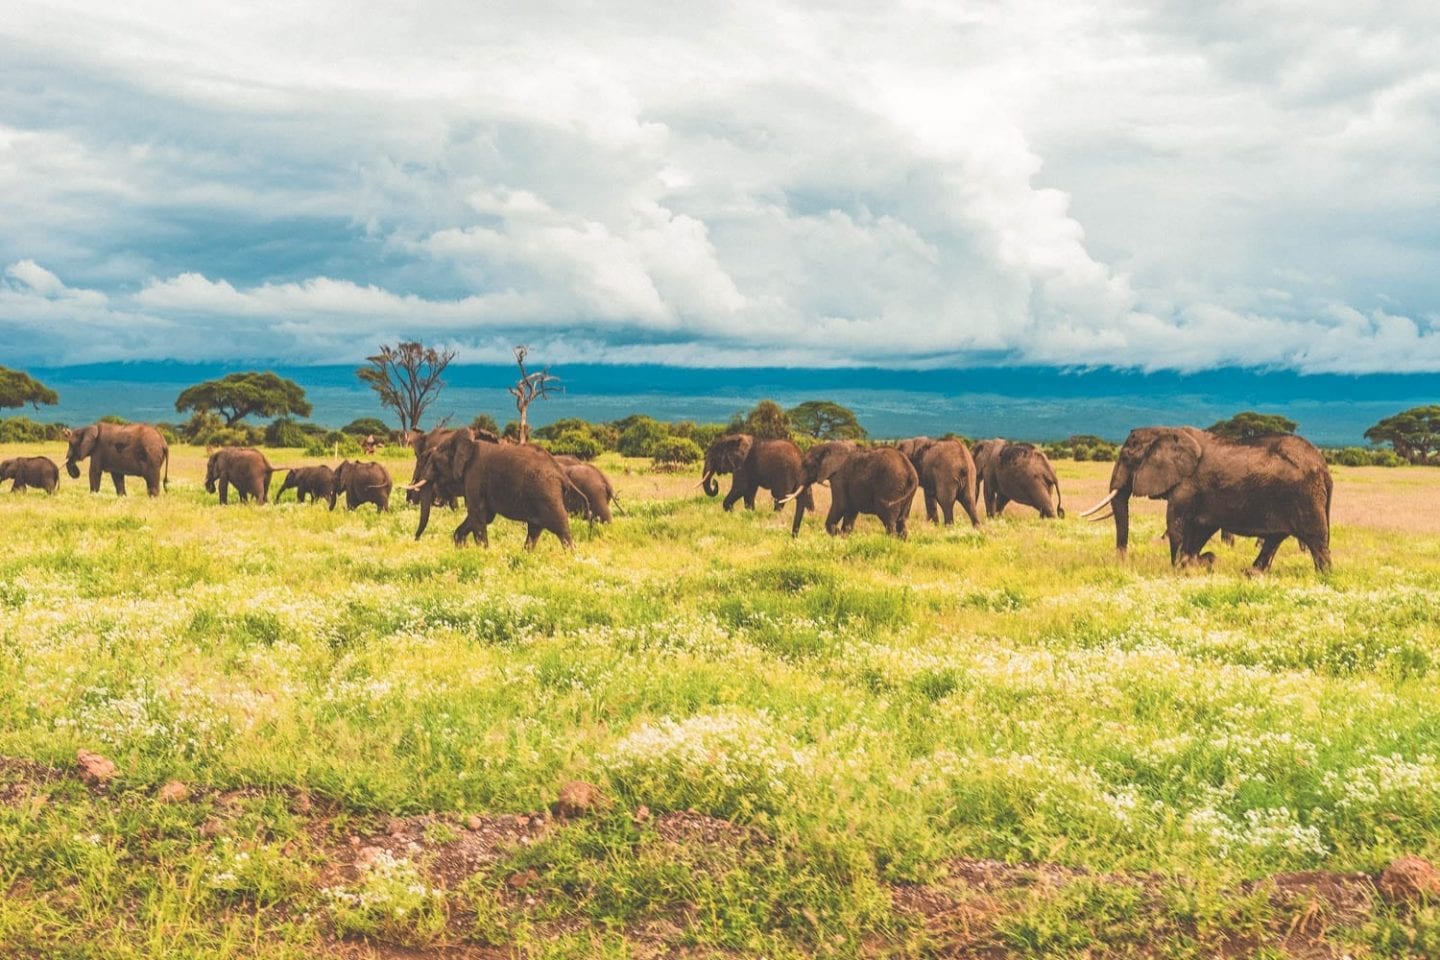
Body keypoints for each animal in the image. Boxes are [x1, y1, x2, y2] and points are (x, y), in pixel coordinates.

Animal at [406, 428, 584, 546]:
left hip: (548, 494)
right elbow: (483, 516)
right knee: (535, 531)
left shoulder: (475, 475)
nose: (416, 539)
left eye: (434, 463)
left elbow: (478, 514)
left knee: (562, 530)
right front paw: (461, 546)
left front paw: (482, 552)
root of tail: (562, 475)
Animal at [1077, 426, 1330, 575]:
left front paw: (1181, 569)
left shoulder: (1188, 486)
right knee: (1276, 538)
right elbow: (1201, 527)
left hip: (1304, 494)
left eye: (1128, 457)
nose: (1121, 562)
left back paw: (1323, 577)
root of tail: (1324, 466)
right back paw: (1251, 573)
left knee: (1316, 540)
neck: (1165, 431)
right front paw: (1202, 562)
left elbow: (1177, 525)